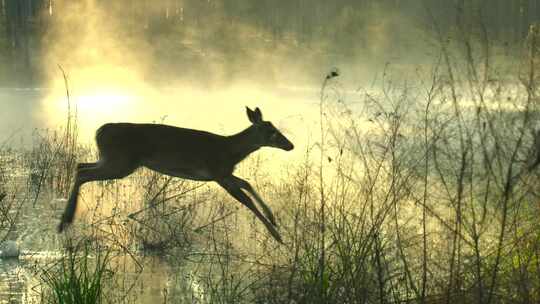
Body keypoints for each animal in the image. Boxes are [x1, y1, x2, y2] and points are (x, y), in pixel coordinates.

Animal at [57, 105, 294, 243]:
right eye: (271, 131)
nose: (290, 145)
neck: (231, 151)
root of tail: (99, 131)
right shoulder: (218, 173)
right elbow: (246, 200)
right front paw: (277, 236)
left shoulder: (224, 173)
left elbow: (247, 184)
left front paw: (273, 219)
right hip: (121, 163)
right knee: (83, 173)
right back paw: (64, 221)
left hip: (112, 160)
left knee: (80, 166)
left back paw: (65, 220)